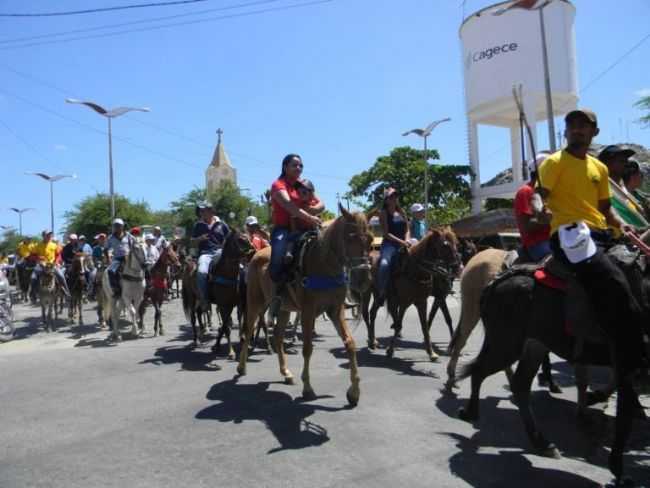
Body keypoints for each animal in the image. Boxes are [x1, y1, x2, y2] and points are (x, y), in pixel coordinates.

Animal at [237, 208, 370, 406]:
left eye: (370, 239)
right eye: (350, 237)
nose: (363, 279)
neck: (324, 264)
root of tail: (256, 254)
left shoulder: (335, 310)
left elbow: (350, 344)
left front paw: (354, 392)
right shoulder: (308, 311)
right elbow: (307, 348)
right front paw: (307, 388)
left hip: (283, 308)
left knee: (278, 336)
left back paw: (286, 373)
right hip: (255, 303)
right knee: (248, 330)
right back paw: (241, 367)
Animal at [360, 227, 460, 360]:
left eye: (456, 243)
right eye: (445, 245)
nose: (456, 266)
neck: (415, 270)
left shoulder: (423, 301)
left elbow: (425, 325)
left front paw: (431, 352)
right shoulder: (406, 302)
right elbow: (399, 324)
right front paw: (390, 350)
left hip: (379, 295)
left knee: (373, 312)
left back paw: (374, 341)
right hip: (367, 293)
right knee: (367, 314)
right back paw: (372, 341)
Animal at [456, 254, 648, 486]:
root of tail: (497, 281)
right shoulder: (627, 366)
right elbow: (624, 420)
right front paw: (619, 471)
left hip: (534, 345)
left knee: (519, 384)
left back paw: (541, 441)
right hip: (507, 345)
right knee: (480, 372)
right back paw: (471, 412)